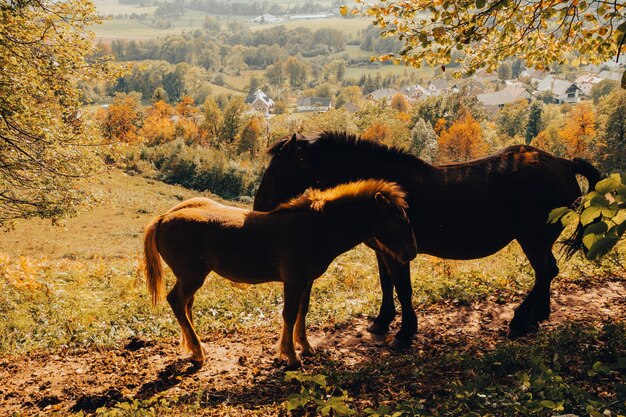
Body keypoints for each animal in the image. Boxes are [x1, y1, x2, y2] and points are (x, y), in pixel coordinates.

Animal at [142, 179, 414, 368]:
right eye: (397, 220)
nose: (410, 252)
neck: (316, 228)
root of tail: (164, 217)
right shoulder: (293, 280)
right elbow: (289, 314)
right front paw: (290, 356)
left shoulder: (306, 281)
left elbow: (302, 312)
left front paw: (305, 346)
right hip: (192, 277)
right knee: (177, 302)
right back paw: (197, 353)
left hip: (190, 277)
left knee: (186, 305)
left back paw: (195, 347)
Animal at [252, 132, 600, 344]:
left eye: (275, 170)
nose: (259, 209)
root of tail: (564, 164)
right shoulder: (383, 250)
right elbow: (387, 285)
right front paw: (382, 322)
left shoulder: (398, 251)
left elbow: (403, 289)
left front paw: (405, 334)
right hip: (539, 240)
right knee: (547, 272)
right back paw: (537, 316)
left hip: (533, 238)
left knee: (545, 271)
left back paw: (519, 321)